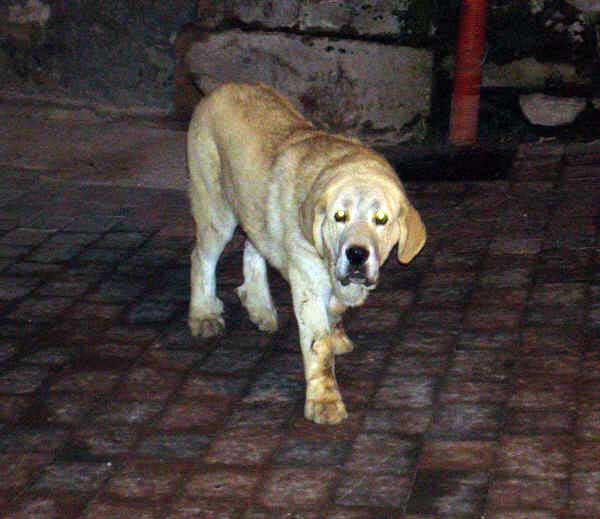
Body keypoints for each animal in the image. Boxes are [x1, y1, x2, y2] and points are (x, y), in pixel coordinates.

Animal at [188, 81, 426, 422]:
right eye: (339, 216)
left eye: (381, 219)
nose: (357, 254)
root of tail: (222, 88)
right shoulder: (308, 282)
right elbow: (319, 346)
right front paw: (324, 401)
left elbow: (336, 314)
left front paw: (338, 334)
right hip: (215, 210)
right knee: (201, 258)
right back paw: (204, 314)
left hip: (252, 206)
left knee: (253, 246)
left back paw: (260, 306)